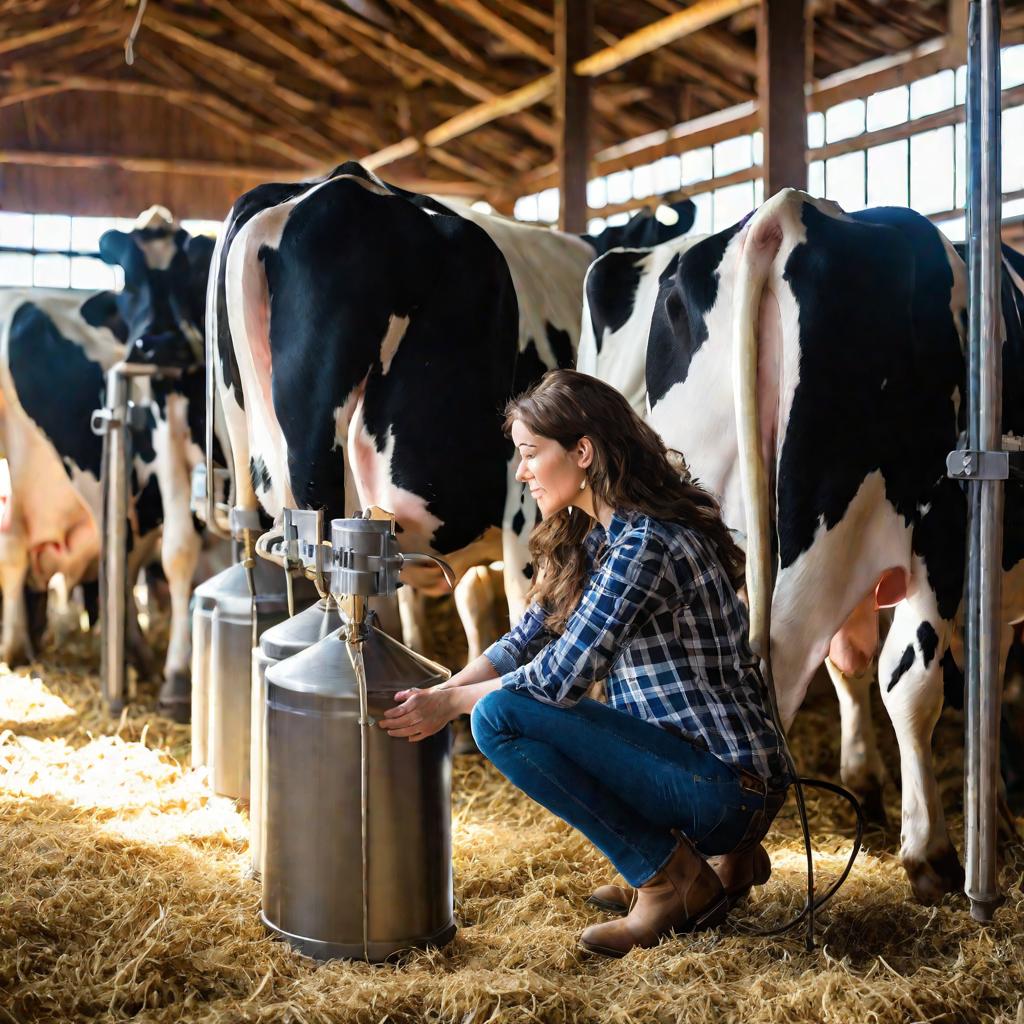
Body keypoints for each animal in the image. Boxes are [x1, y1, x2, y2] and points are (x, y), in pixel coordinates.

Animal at [0, 207, 218, 720]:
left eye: (185, 272)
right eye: (129, 281)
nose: (155, 345)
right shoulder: (163, 433)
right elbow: (179, 552)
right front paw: (177, 679)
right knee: (17, 546)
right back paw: (19, 647)